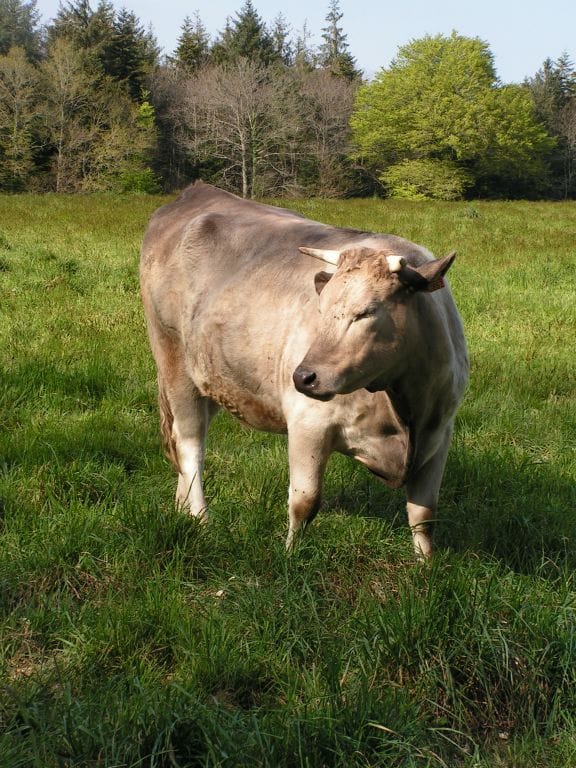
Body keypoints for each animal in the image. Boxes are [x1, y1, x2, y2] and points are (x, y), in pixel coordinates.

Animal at [140, 182, 468, 558]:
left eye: (367, 311)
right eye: (320, 309)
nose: (303, 376)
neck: (404, 401)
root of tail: (196, 193)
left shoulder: (440, 432)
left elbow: (424, 514)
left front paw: (425, 564)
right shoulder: (308, 421)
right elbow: (305, 501)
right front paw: (290, 556)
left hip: (211, 375)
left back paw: (182, 511)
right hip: (173, 361)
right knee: (190, 445)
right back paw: (201, 520)